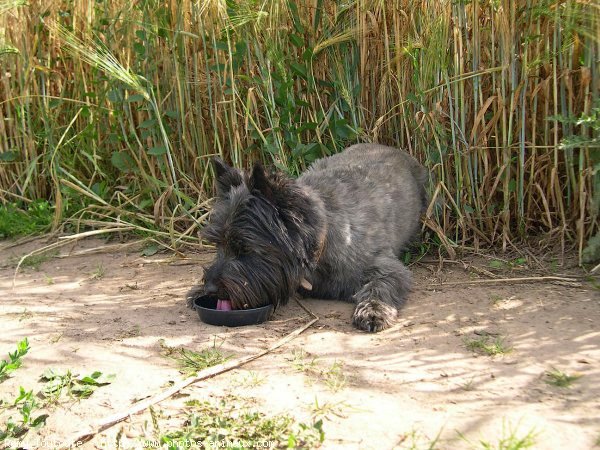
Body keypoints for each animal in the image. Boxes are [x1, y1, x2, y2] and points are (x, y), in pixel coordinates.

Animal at [188, 142, 426, 332]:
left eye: (245, 248)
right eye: (217, 244)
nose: (210, 289)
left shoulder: (387, 267)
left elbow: (379, 286)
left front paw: (373, 310)